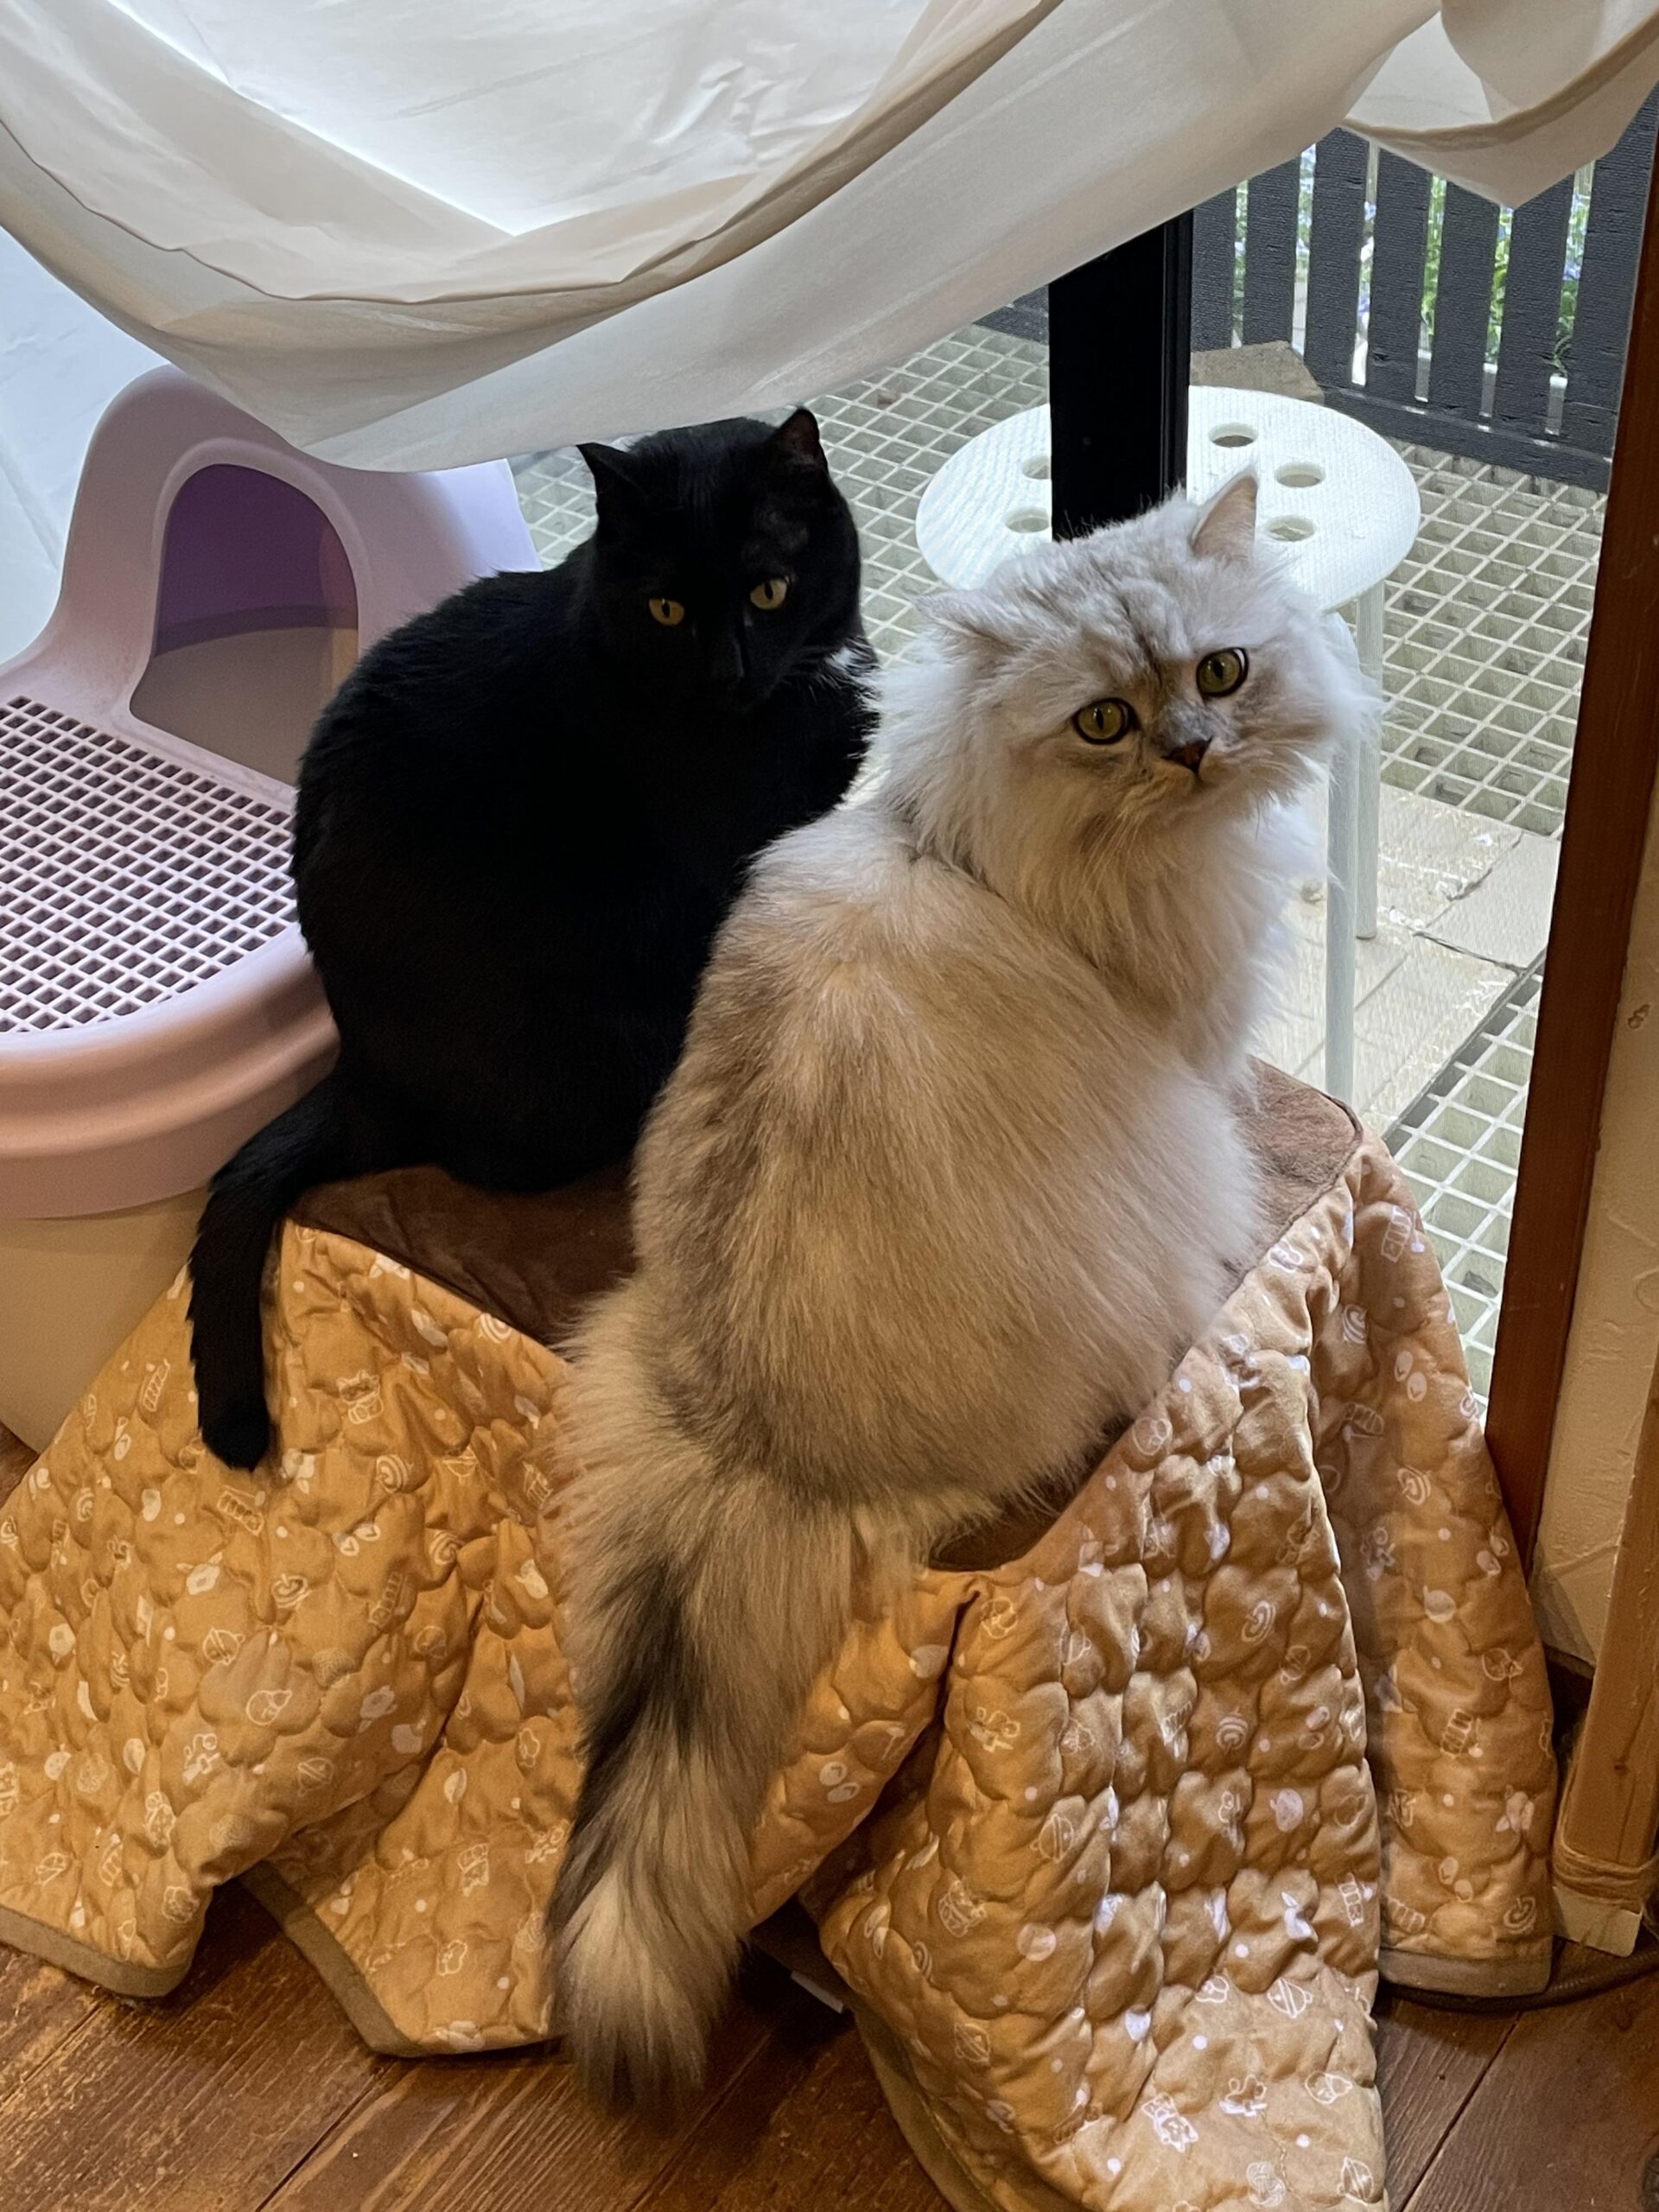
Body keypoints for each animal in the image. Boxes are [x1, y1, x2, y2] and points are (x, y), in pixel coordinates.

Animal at [548, 472, 1375, 2107]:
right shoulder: (1189, 1053)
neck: (967, 838)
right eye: (1106, 723)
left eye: (1224, 671)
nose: (1195, 749)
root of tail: (741, 1450)